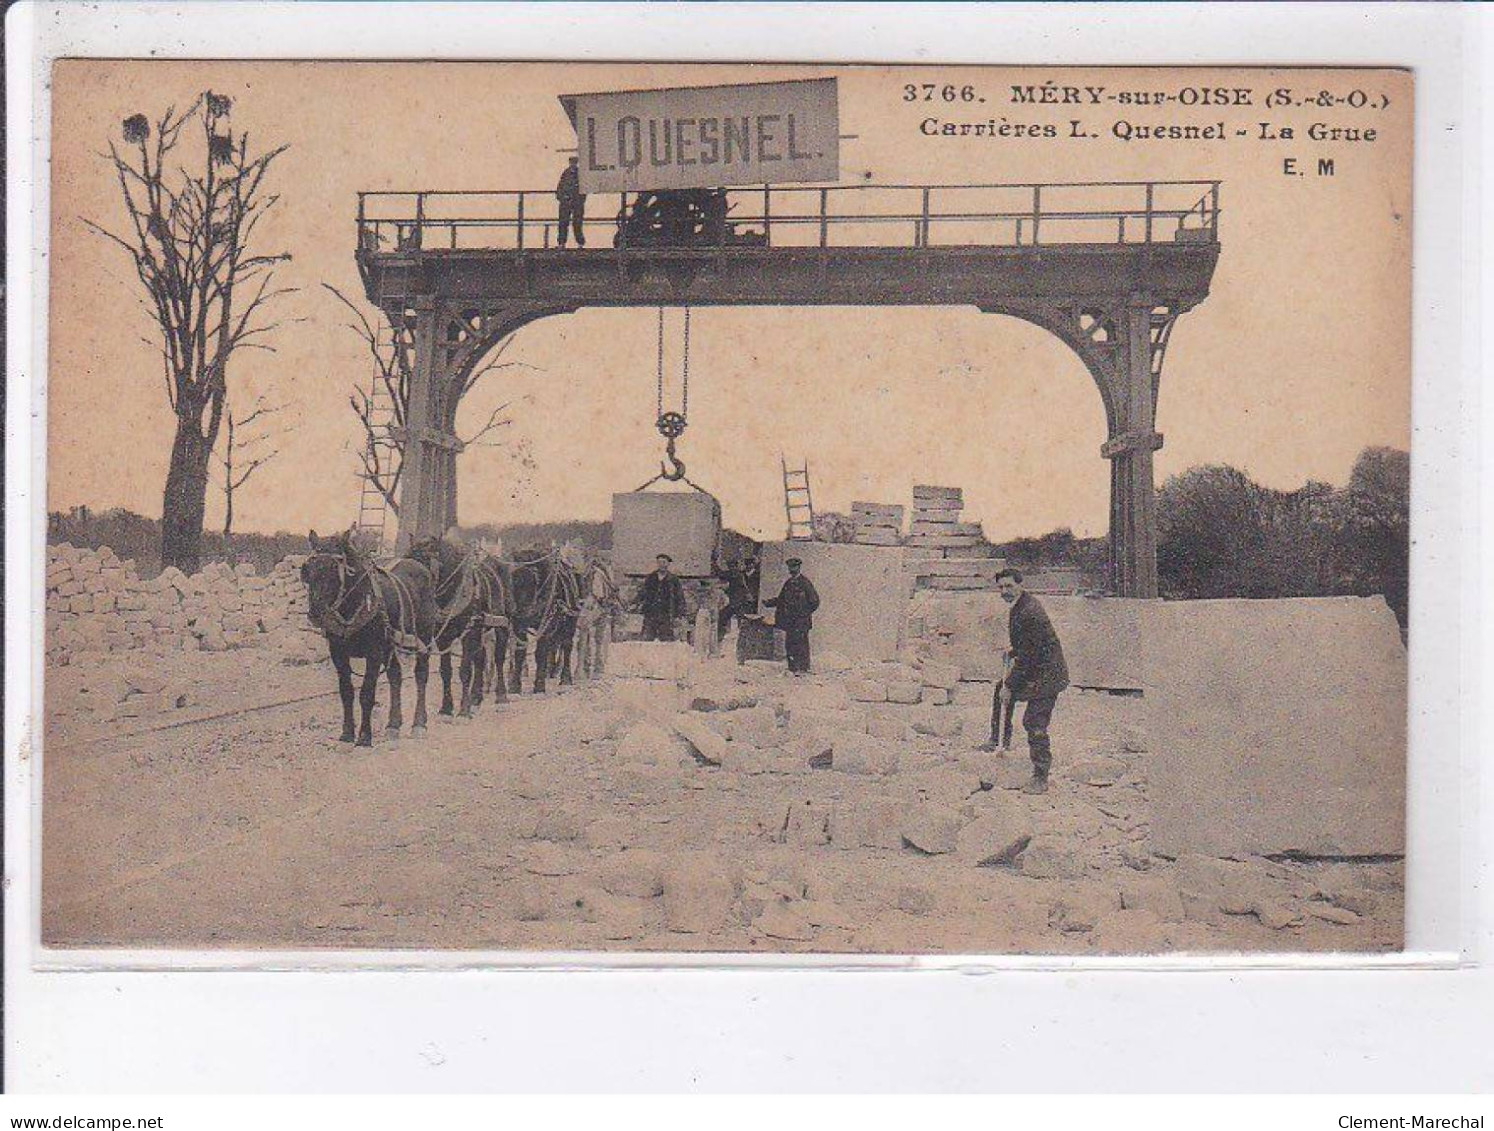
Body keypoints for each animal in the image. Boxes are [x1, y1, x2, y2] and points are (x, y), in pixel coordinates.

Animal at [300, 534, 436, 747]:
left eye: (333, 568)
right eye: (307, 569)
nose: (315, 612)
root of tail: (419, 564)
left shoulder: (374, 653)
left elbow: (366, 693)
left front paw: (364, 737)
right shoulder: (338, 653)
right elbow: (346, 692)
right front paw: (347, 734)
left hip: (423, 638)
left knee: (421, 675)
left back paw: (419, 724)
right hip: (390, 645)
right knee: (395, 675)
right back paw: (393, 725)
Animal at [409, 534, 513, 714]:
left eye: (425, 562)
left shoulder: (468, 632)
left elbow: (465, 670)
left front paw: (464, 710)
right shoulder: (443, 637)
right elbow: (446, 671)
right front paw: (446, 707)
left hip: (501, 624)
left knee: (498, 657)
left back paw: (501, 695)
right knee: (480, 658)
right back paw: (476, 696)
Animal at [510, 549, 585, 693]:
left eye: (528, 582)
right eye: (511, 581)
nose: (517, 612)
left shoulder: (546, 624)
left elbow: (540, 653)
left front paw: (539, 685)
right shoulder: (519, 626)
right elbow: (519, 652)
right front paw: (515, 686)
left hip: (570, 621)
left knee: (567, 645)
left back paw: (565, 678)